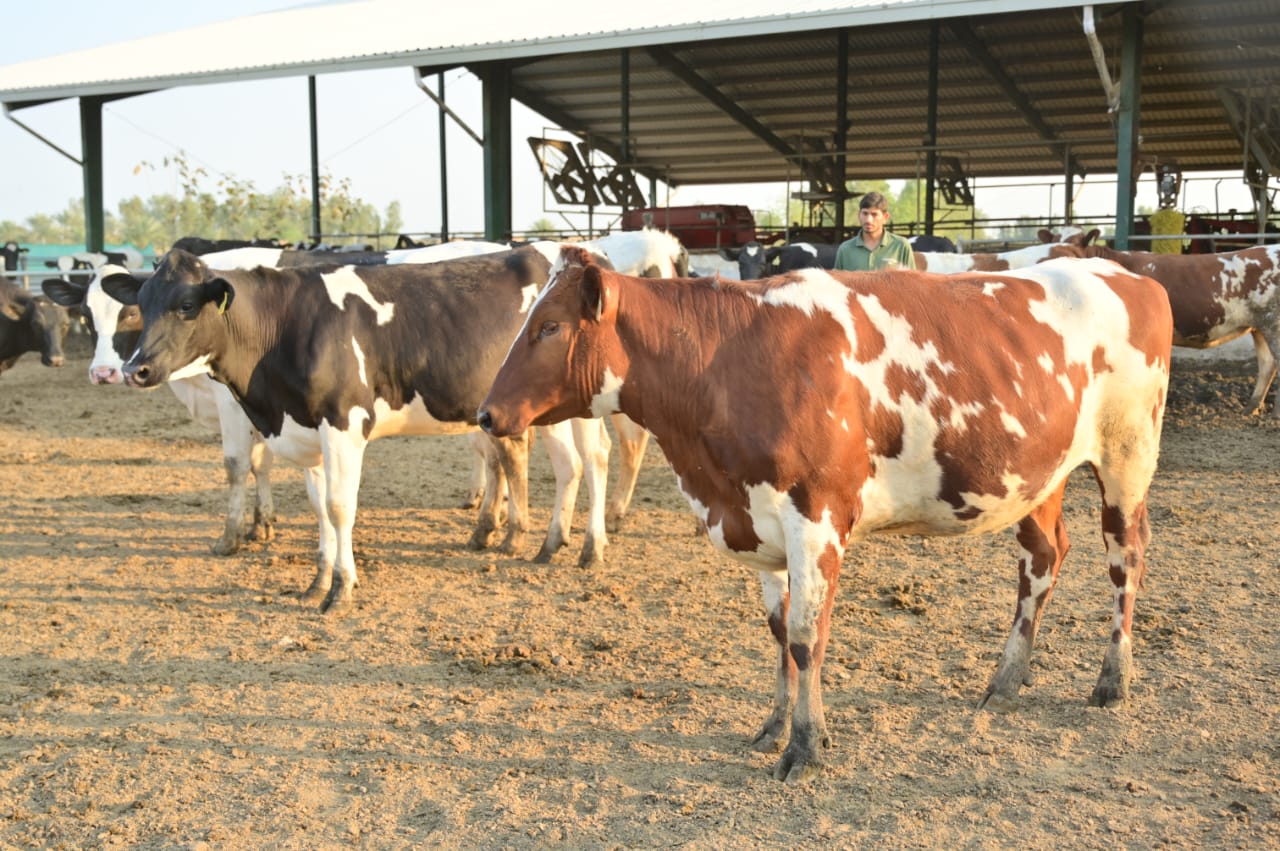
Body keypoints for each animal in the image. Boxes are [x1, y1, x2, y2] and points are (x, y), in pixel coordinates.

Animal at [106, 246, 605, 613]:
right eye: (141, 305)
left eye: (187, 305)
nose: (135, 370)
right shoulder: (307, 429)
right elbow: (319, 508)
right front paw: (317, 581)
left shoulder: (344, 424)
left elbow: (340, 507)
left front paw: (341, 589)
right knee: (569, 464)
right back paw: (548, 543)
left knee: (590, 461)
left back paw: (588, 547)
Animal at [478, 246, 1172, 783]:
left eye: (549, 327)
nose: (485, 414)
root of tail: (1128, 275)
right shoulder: (757, 520)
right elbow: (779, 632)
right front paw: (774, 725)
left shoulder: (815, 516)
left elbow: (808, 636)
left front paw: (806, 747)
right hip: (1036, 475)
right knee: (1042, 560)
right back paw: (1006, 679)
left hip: (1127, 457)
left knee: (1125, 559)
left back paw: (1114, 679)